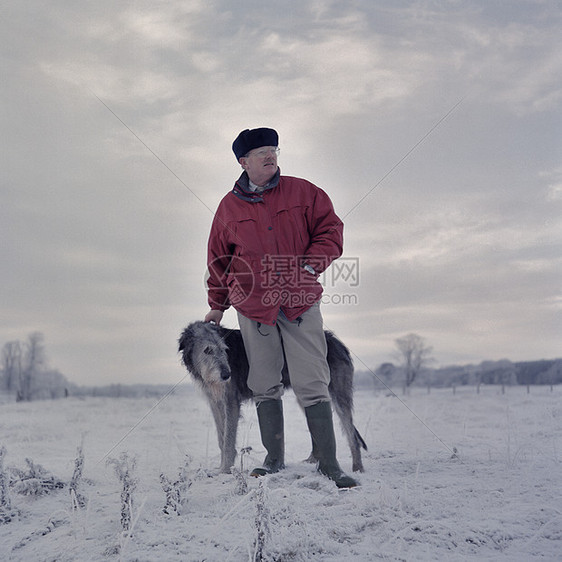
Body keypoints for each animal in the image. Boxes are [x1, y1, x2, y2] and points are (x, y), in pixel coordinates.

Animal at [177, 320, 366, 472]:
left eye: (224, 349)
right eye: (207, 350)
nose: (226, 375)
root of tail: (339, 343)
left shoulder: (231, 401)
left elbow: (228, 439)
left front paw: (224, 470)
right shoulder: (215, 402)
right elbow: (221, 437)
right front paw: (222, 467)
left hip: (338, 394)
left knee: (351, 434)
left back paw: (357, 468)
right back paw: (313, 460)